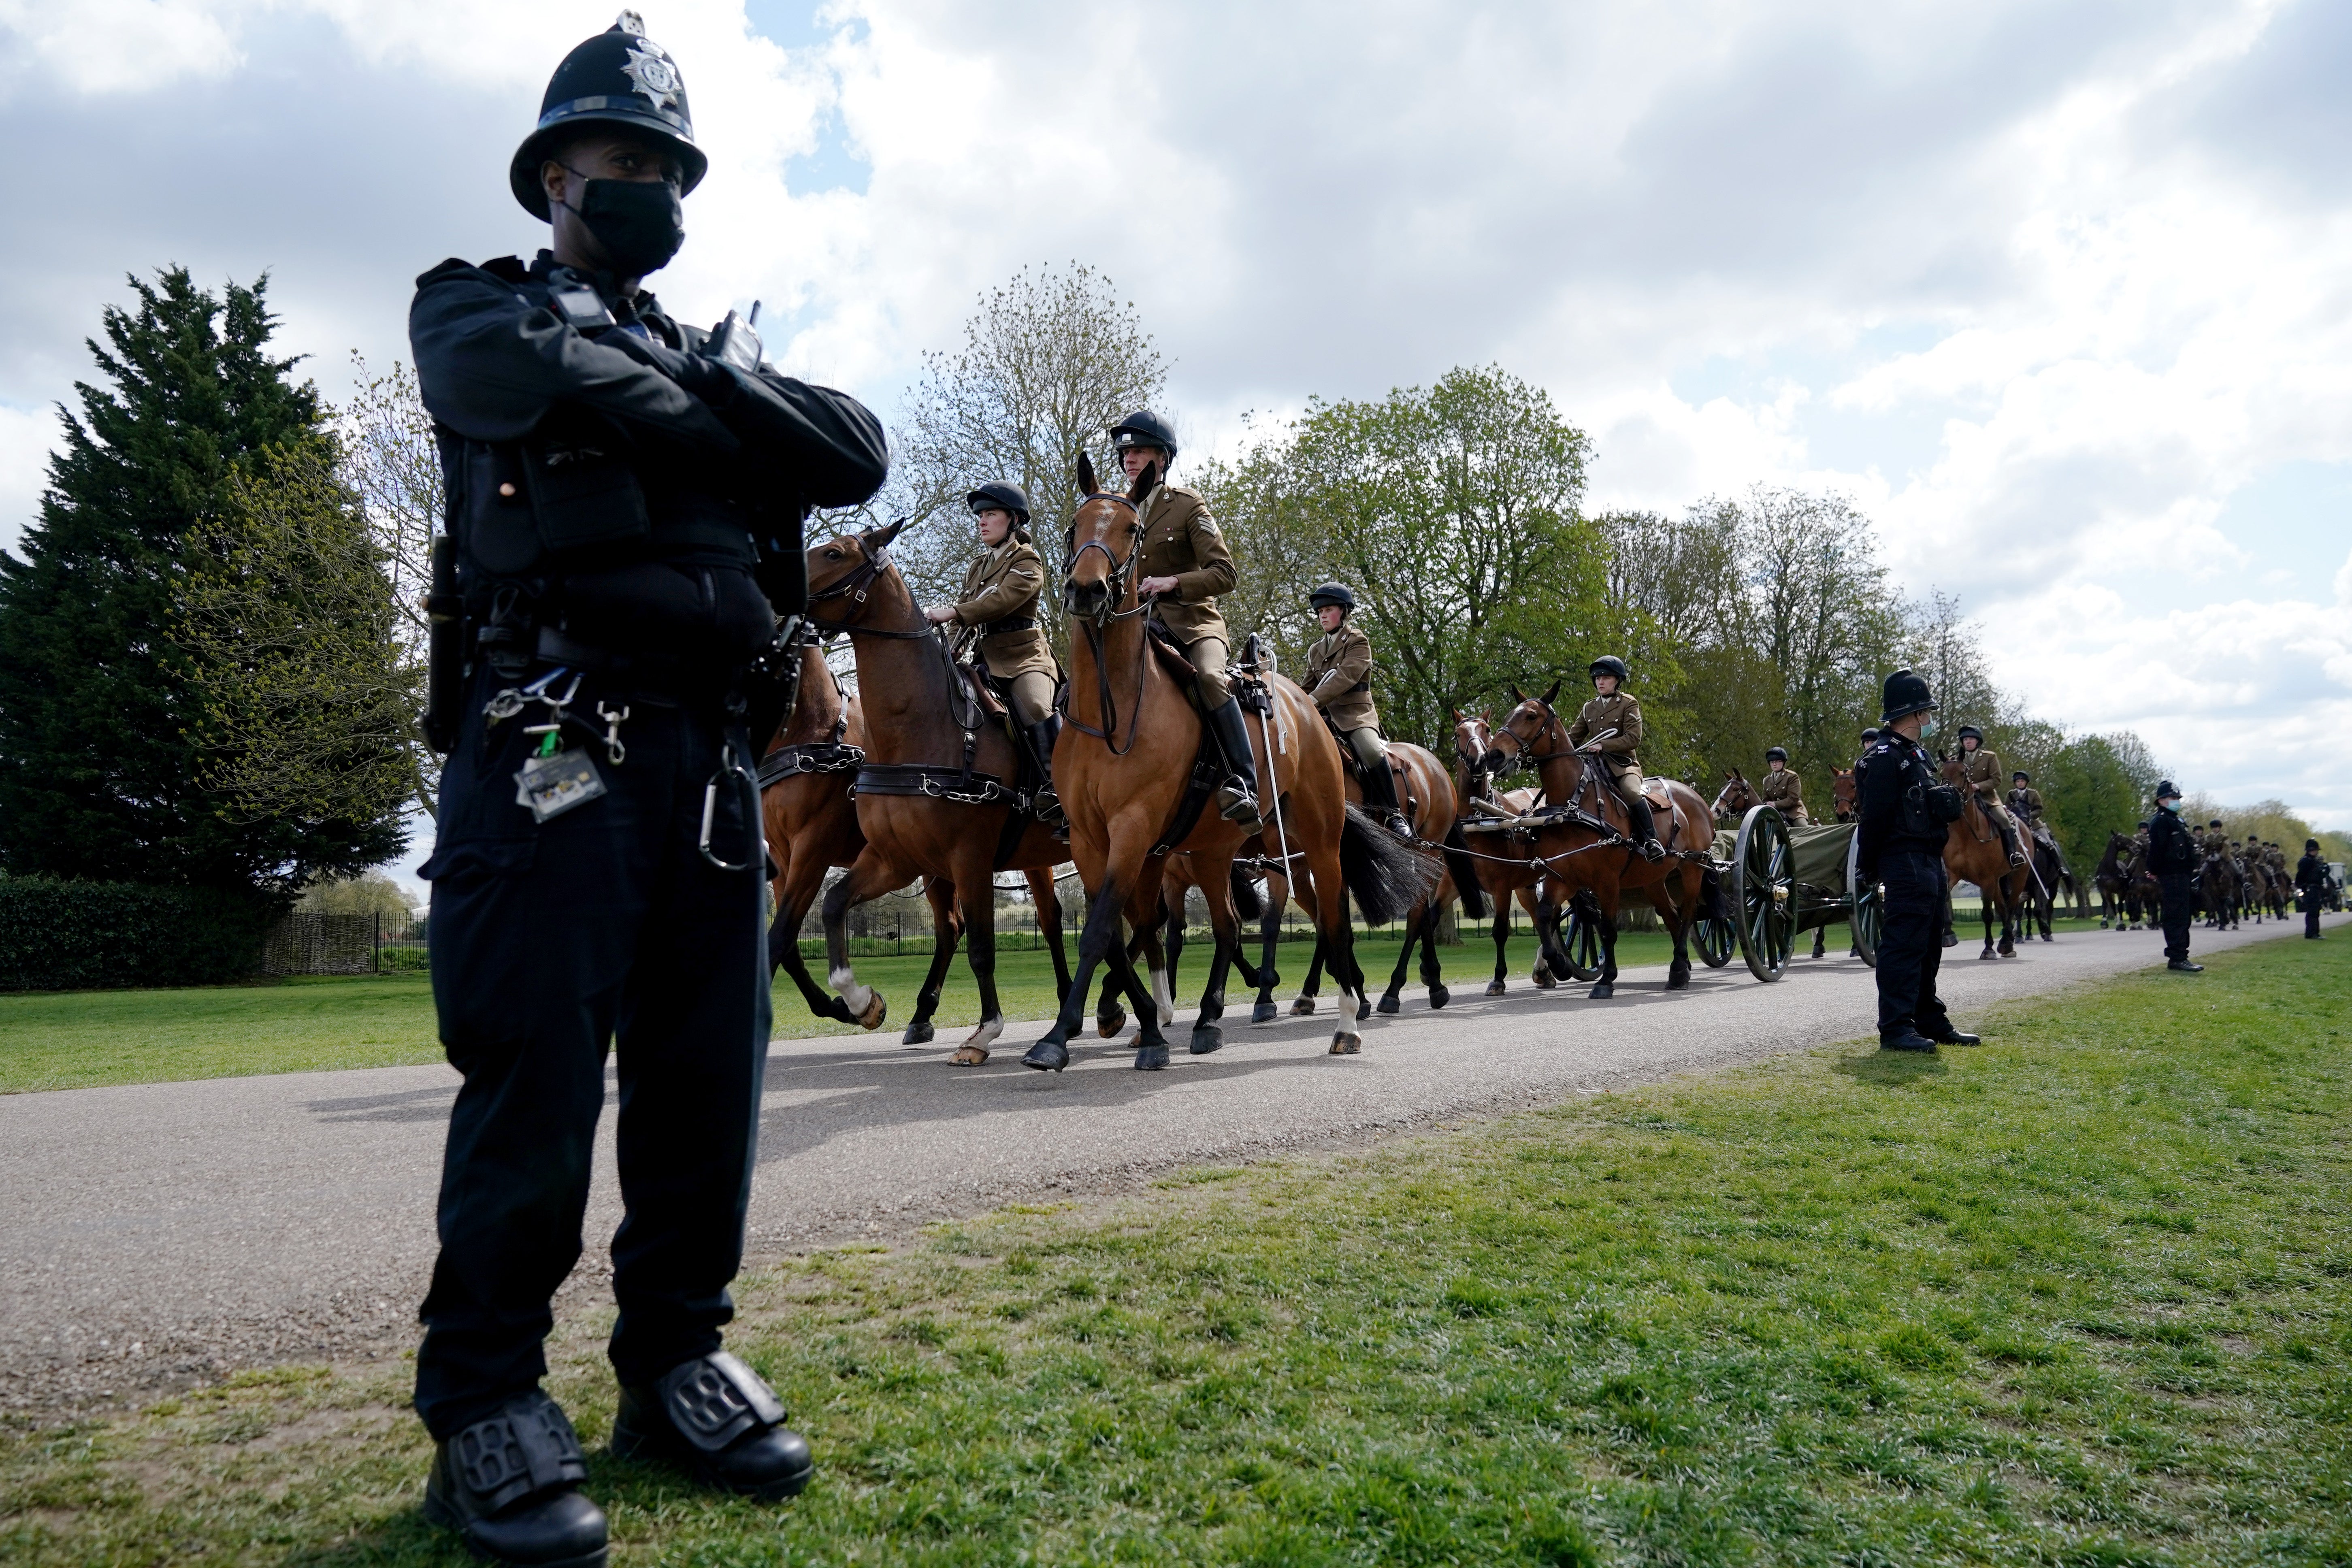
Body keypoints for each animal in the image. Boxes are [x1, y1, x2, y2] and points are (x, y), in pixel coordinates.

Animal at [799, 524, 1077, 1067]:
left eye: (834, 552)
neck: (922, 725)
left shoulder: (969, 859)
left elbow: (983, 947)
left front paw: (984, 1033)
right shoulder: (895, 858)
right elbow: (835, 904)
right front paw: (863, 1002)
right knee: (1059, 920)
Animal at [1025, 454, 1430, 1067]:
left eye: (1132, 529)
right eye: (1077, 526)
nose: (1087, 590)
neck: (1111, 709)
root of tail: (1306, 707)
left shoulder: (1133, 830)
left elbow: (1102, 932)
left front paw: (1061, 1036)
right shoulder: (1092, 840)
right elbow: (1121, 933)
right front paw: (1139, 1023)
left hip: (1318, 842)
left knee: (1333, 921)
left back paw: (1346, 1018)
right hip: (1217, 851)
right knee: (1229, 923)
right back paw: (1210, 1021)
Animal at [1477, 691, 1721, 1006]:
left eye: (1531, 716)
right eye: (1509, 714)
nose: (1493, 756)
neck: (1574, 802)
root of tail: (1696, 798)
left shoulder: (1607, 882)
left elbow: (1607, 930)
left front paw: (1606, 980)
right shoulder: (1562, 877)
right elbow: (1545, 916)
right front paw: (1558, 965)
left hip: (1692, 869)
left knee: (1689, 913)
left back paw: (1679, 968)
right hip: (1654, 880)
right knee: (1672, 916)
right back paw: (1681, 969)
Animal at [1938, 757, 2032, 964]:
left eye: (1962, 773)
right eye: (1942, 773)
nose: (1949, 798)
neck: (1965, 833)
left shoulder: (1987, 880)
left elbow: (1987, 915)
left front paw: (1988, 949)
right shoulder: (1952, 874)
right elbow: (1943, 899)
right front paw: (1948, 935)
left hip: (2018, 877)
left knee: (2011, 907)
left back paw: (2006, 944)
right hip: (1996, 882)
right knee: (2004, 908)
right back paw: (2007, 943)